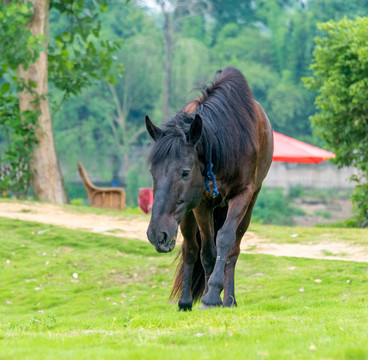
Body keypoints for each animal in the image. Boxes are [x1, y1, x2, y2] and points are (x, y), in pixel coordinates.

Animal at [145, 65, 272, 310]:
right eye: (152, 172)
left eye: (185, 172)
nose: (157, 234)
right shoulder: (201, 203)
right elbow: (207, 252)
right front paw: (208, 295)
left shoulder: (243, 195)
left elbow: (225, 240)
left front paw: (214, 294)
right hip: (187, 212)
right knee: (191, 248)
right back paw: (186, 301)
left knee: (233, 249)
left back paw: (229, 299)